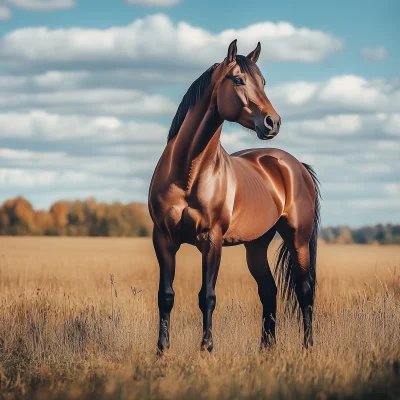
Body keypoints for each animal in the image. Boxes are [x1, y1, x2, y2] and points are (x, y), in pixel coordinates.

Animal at [148, 40, 320, 354]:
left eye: (263, 82)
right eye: (238, 80)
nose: (272, 122)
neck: (187, 172)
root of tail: (295, 165)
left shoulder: (211, 239)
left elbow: (207, 296)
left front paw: (206, 348)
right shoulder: (163, 239)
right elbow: (165, 296)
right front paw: (162, 350)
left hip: (298, 240)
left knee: (304, 291)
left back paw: (308, 347)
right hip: (256, 245)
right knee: (269, 291)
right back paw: (266, 349)